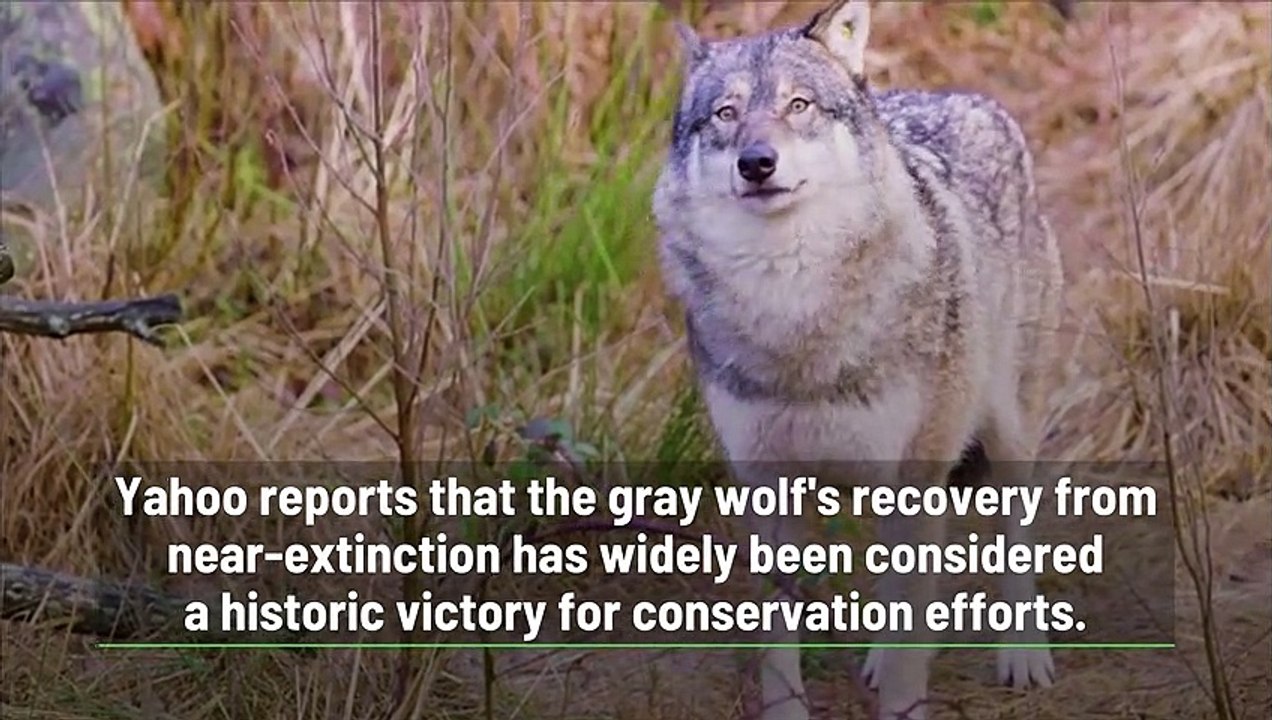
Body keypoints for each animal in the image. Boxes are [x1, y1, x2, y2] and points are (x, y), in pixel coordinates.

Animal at [651, 1, 1067, 719]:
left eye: (798, 105)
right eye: (726, 114)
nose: (757, 163)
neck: (791, 309)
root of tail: (965, 97)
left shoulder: (917, 477)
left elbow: (909, 653)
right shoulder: (767, 487)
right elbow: (779, 648)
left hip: (1005, 435)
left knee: (1012, 540)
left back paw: (1025, 656)